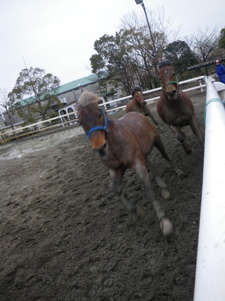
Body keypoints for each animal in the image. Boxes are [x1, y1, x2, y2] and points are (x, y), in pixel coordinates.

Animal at [77, 90, 185, 236]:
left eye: (99, 114)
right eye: (80, 122)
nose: (100, 148)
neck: (115, 143)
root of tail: (138, 114)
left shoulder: (137, 163)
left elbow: (149, 191)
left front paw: (165, 223)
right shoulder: (116, 169)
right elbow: (117, 190)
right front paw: (137, 212)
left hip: (157, 142)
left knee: (165, 156)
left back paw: (178, 172)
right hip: (143, 154)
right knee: (151, 166)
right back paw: (163, 188)